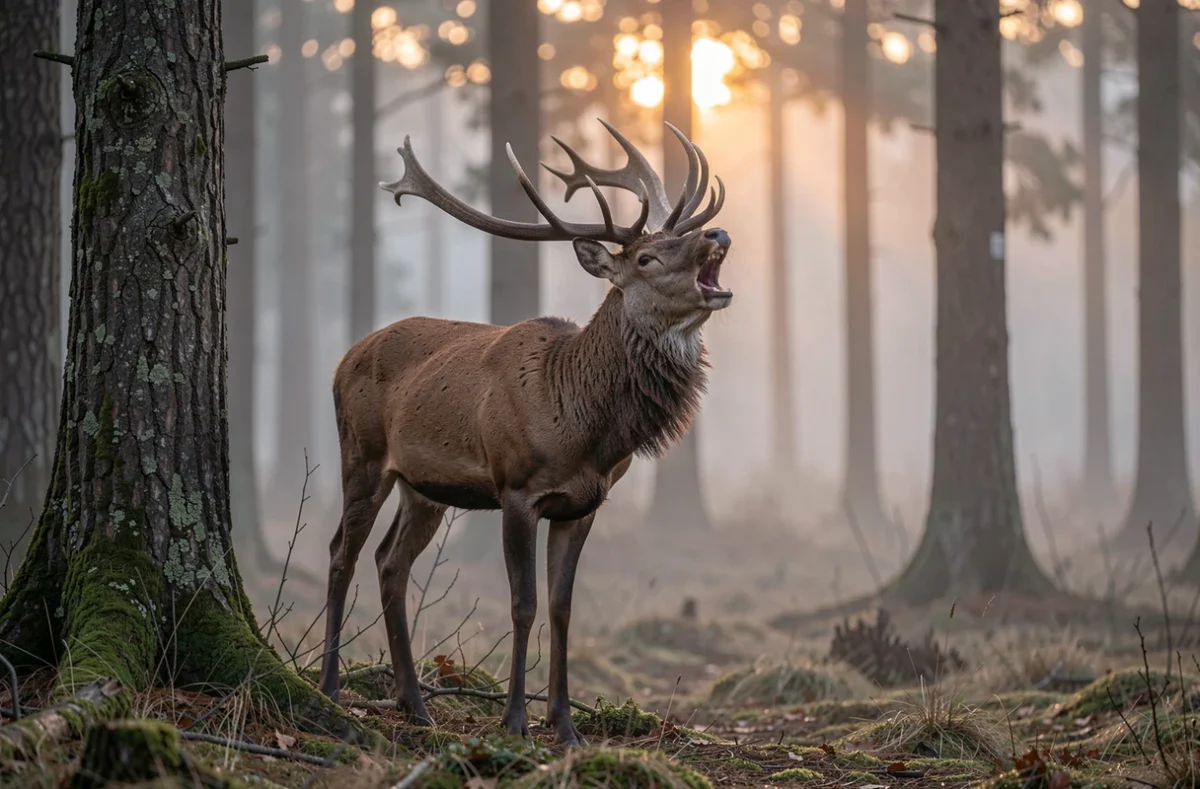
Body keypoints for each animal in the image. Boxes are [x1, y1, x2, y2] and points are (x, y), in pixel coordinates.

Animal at [317, 119, 732, 746]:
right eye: (646, 258)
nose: (719, 234)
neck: (587, 431)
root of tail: (344, 358)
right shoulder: (516, 489)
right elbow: (523, 603)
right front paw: (514, 721)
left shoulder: (584, 504)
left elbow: (561, 606)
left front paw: (565, 725)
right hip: (361, 453)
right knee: (342, 550)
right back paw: (330, 690)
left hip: (423, 487)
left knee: (391, 562)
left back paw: (415, 703)